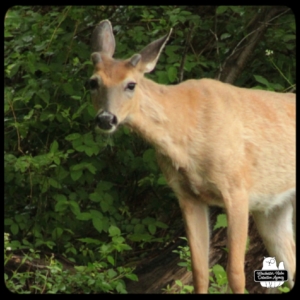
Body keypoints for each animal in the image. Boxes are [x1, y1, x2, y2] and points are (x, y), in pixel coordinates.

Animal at [89, 20, 296, 292]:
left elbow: (235, 273)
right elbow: (198, 271)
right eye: (93, 82)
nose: (106, 119)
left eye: (131, 84)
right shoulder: (187, 196)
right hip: (272, 209)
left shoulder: (237, 188)